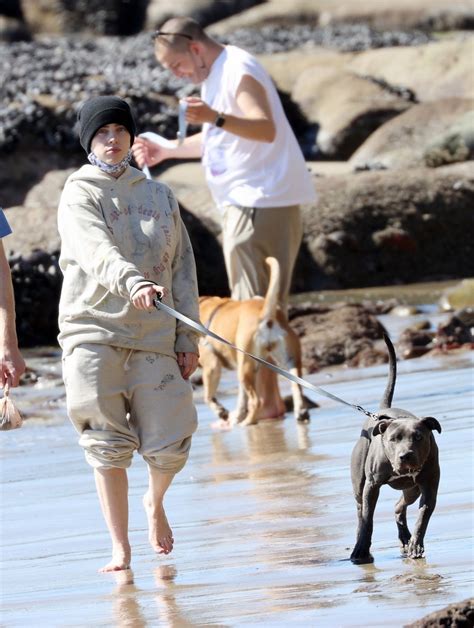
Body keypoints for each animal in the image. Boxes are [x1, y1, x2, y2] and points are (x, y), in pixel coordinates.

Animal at [198, 256, 310, 426]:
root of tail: (265, 313)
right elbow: (241, 398)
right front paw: (236, 416)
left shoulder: (211, 365)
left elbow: (208, 396)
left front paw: (222, 412)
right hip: (287, 359)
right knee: (297, 385)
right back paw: (301, 412)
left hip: (246, 366)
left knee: (256, 401)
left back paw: (248, 422)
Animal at [350, 334, 442, 564]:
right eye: (393, 439)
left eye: (418, 437)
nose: (406, 455)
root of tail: (382, 411)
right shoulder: (371, 486)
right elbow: (368, 519)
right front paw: (361, 550)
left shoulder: (429, 487)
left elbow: (422, 518)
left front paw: (416, 546)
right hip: (359, 486)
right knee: (360, 512)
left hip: (412, 489)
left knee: (399, 506)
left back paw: (406, 538)